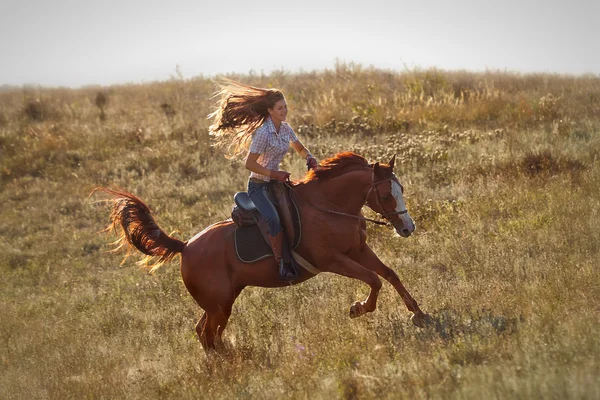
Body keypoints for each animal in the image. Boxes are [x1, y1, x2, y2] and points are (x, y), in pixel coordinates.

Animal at [98, 152, 428, 352]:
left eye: (400, 189)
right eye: (387, 195)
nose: (408, 228)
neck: (329, 206)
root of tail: (186, 247)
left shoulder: (358, 250)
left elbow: (389, 274)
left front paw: (419, 314)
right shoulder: (333, 260)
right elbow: (374, 280)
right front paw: (358, 308)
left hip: (222, 302)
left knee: (205, 332)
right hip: (219, 304)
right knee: (207, 334)